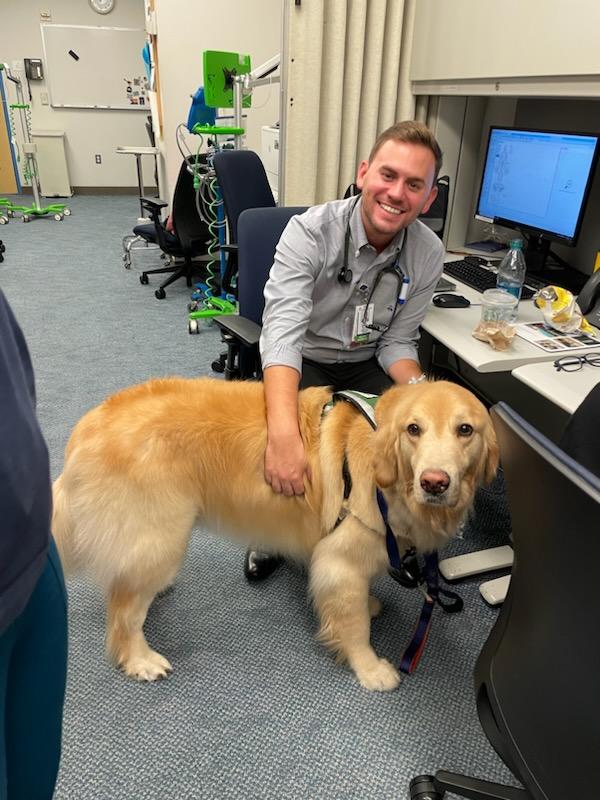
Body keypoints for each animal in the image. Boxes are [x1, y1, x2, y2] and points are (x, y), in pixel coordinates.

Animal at [54, 378, 500, 692]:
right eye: (413, 429)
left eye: (465, 430)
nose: (435, 482)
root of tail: (86, 428)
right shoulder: (338, 560)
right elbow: (354, 625)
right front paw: (370, 668)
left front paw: (371, 603)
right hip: (161, 538)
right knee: (123, 609)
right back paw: (139, 659)